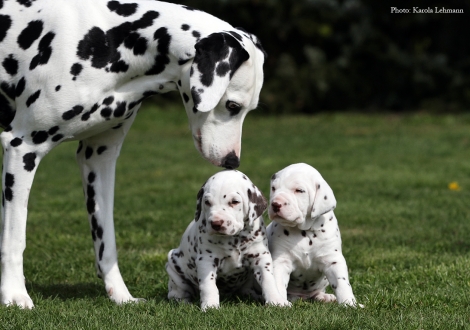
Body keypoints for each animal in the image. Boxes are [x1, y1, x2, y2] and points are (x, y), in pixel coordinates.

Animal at [0, 0, 266, 310]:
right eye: (232, 106)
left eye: (248, 109)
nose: (232, 161)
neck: (109, 40)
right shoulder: (23, 148)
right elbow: (14, 238)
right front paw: (15, 295)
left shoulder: (99, 157)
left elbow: (106, 241)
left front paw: (120, 295)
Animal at [165, 169, 290, 310]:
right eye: (207, 202)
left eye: (234, 202)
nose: (216, 223)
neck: (235, 239)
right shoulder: (206, 260)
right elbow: (208, 286)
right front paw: (210, 306)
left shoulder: (260, 256)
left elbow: (268, 280)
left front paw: (277, 301)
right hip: (173, 267)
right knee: (177, 292)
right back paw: (183, 302)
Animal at [266, 163, 362, 306]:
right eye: (274, 188)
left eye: (299, 190)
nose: (275, 204)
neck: (305, 232)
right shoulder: (281, 261)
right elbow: (277, 283)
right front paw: (279, 302)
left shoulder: (333, 260)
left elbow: (342, 283)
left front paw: (350, 303)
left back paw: (325, 297)